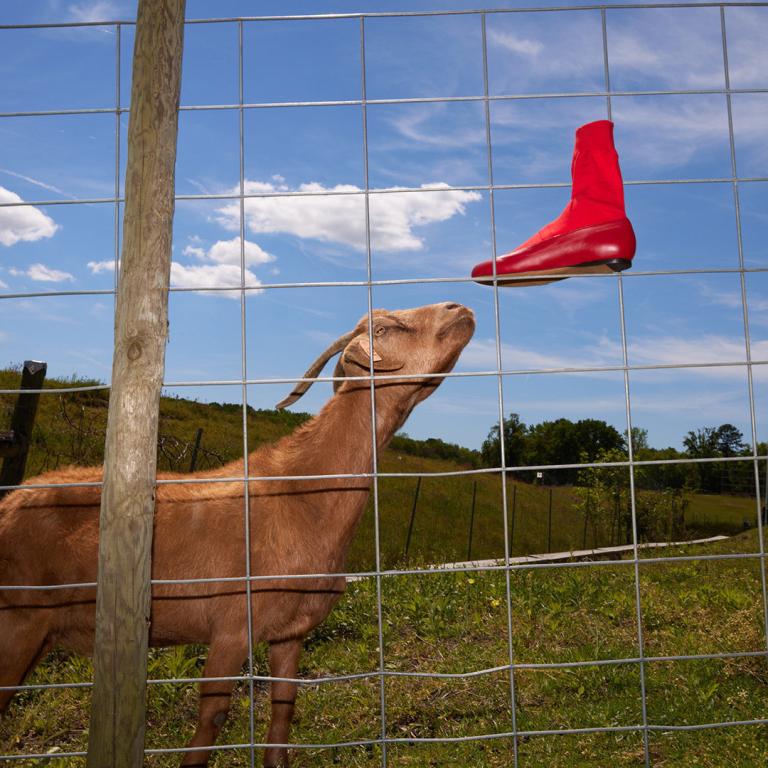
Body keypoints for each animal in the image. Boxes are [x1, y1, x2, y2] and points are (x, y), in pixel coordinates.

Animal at [0, 302, 476, 768]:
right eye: (385, 327)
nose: (460, 309)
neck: (302, 496)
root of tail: (9, 502)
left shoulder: (290, 631)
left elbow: (284, 707)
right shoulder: (231, 627)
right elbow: (213, 717)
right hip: (18, 623)